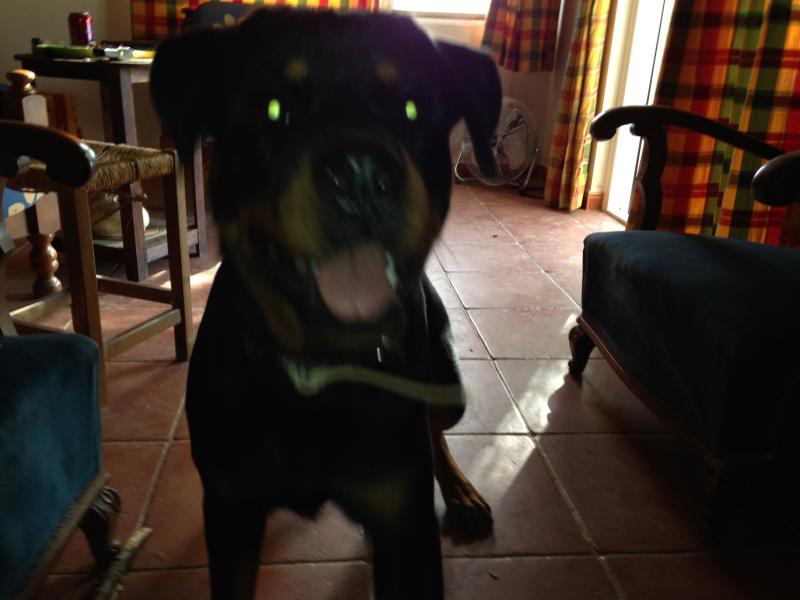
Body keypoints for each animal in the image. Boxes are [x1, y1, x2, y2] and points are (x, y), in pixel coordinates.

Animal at [151, 8, 500, 599]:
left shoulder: (403, 520)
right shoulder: (231, 507)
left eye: (411, 108)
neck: (317, 371)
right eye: (274, 109)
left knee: (436, 428)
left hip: (448, 381)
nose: (362, 174)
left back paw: (461, 492)